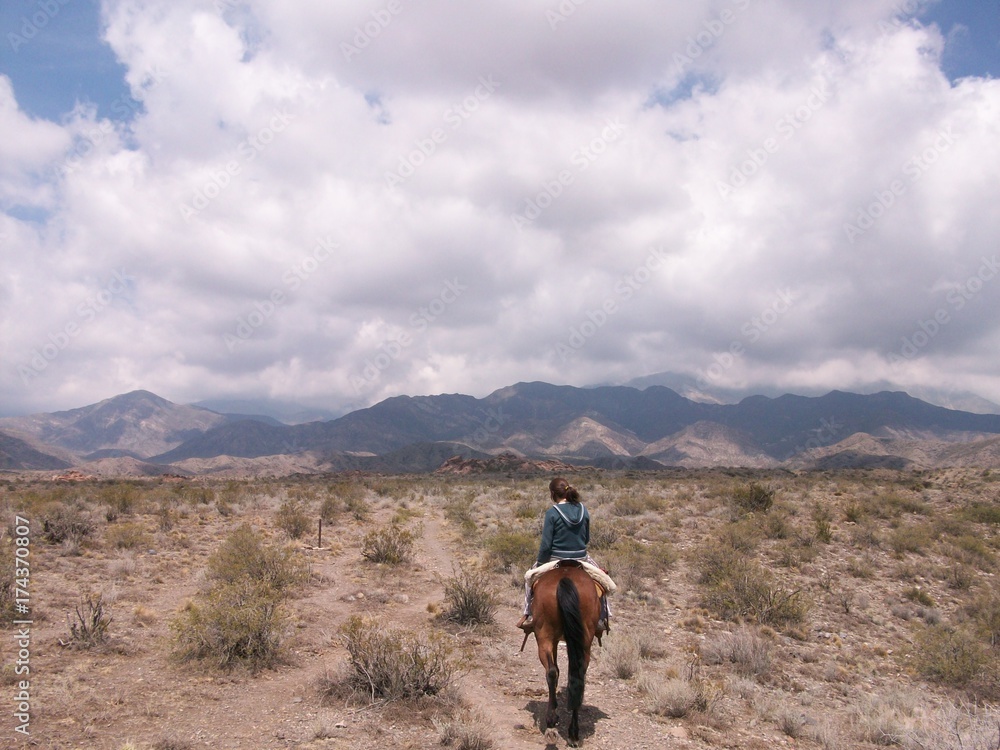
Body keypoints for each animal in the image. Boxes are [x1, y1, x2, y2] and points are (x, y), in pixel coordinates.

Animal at [528, 560, 596, 744]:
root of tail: (566, 577)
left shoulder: (553, 640)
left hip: (543, 635)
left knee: (552, 672)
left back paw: (552, 722)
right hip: (584, 640)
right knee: (577, 675)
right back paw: (573, 732)